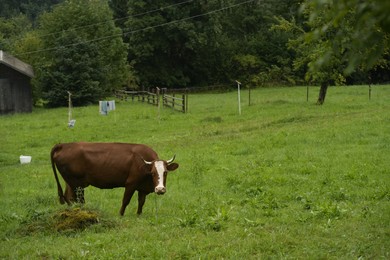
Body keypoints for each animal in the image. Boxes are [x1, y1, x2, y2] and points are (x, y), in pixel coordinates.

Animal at [50, 142, 180, 215]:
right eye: (152, 173)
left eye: (165, 172)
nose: (160, 189)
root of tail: (63, 145)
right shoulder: (131, 184)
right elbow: (125, 201)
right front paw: (120, 215)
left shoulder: (142, 187)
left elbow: (141, 202)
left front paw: (139, 215)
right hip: (76, 184)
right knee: (77, 199)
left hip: (70, 183)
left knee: (69, 197)